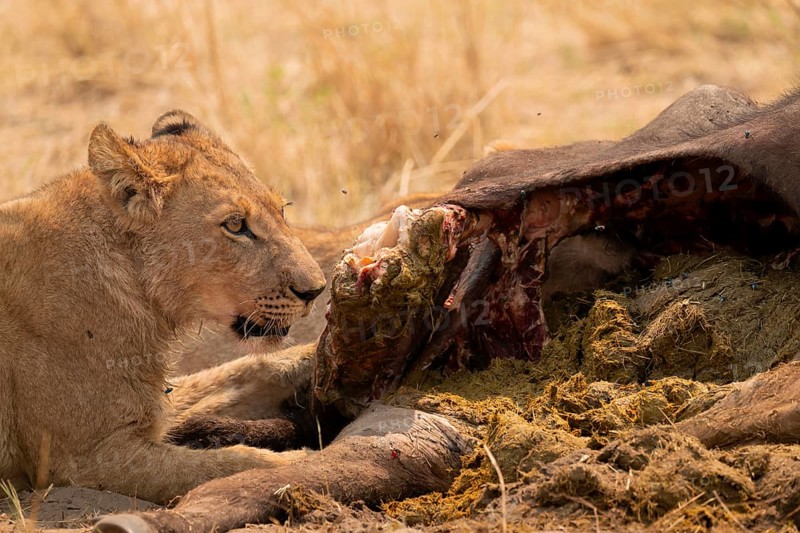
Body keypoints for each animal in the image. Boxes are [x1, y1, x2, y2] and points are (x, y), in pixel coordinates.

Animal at [0, 111, 327, 504]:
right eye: (236, 224)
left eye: (281, 210)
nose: (316, 290)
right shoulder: (78, 461)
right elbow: (228, 464)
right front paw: (304, 462)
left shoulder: (155, 402)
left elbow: (246, 369)